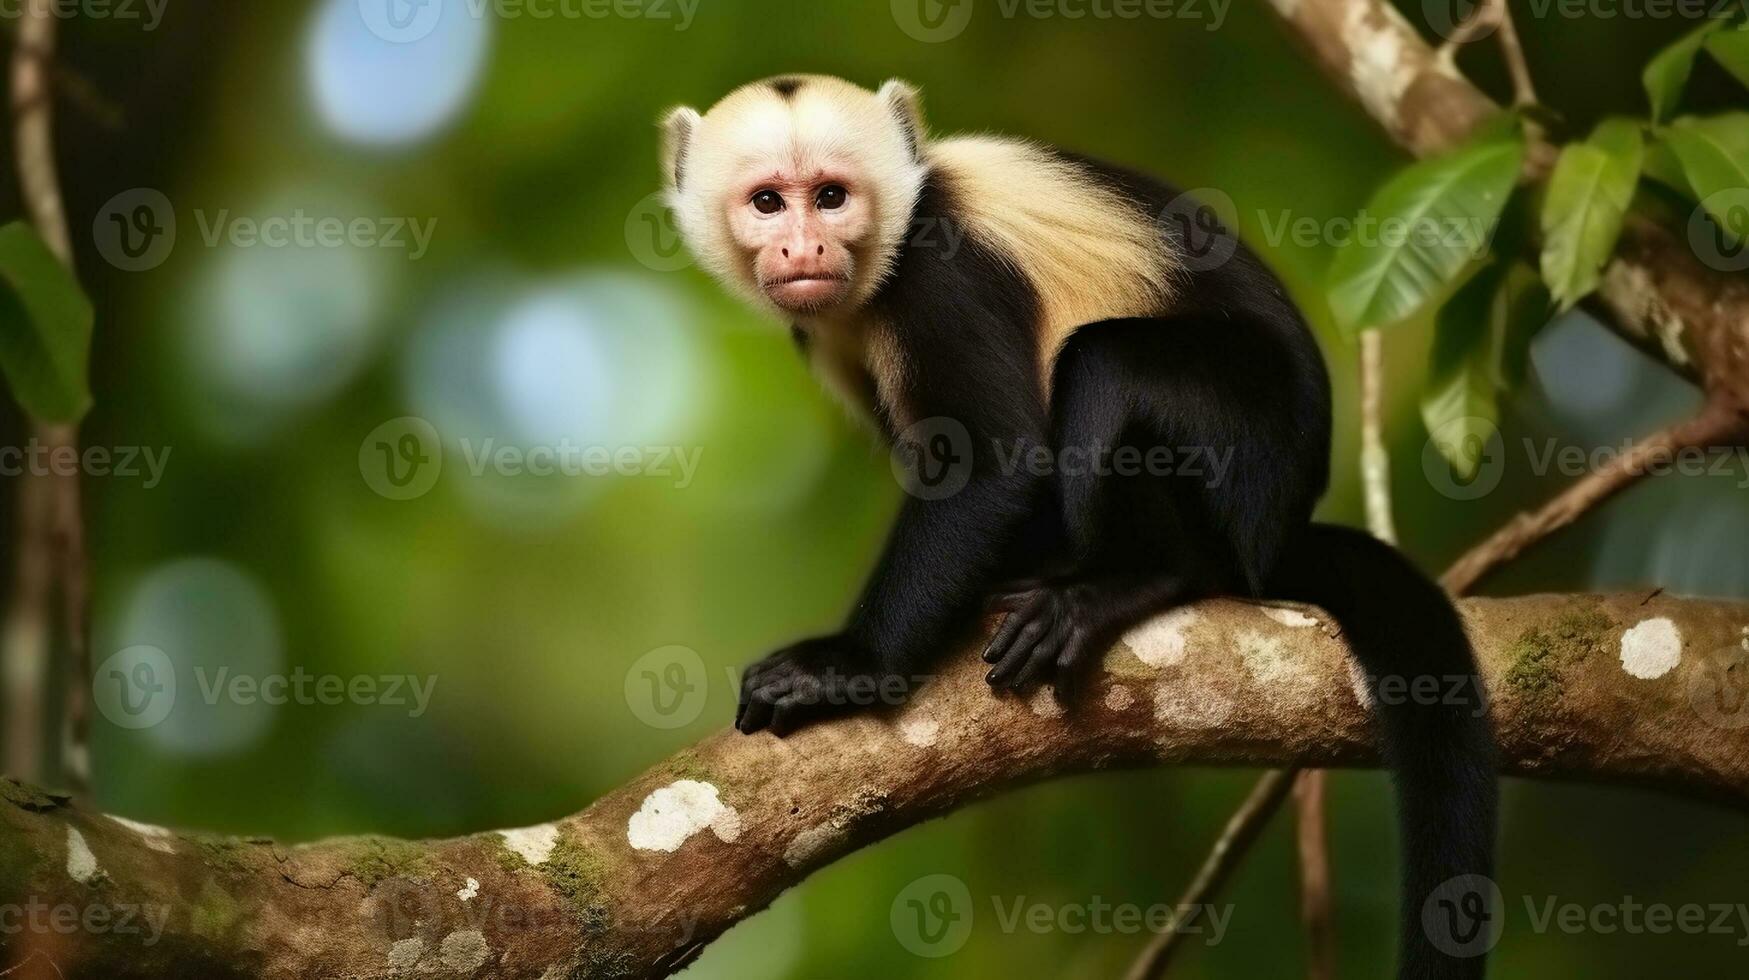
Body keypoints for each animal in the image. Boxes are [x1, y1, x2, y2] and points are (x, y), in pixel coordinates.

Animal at [661, 76, 1497, 980]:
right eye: (768, 203)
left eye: (830, 197)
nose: (804, 247)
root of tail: (1282, 526)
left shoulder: (941, 273)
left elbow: (994, 464)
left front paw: (850, 667)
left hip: (1252, 457)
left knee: (1110, 366)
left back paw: (1136, 579)